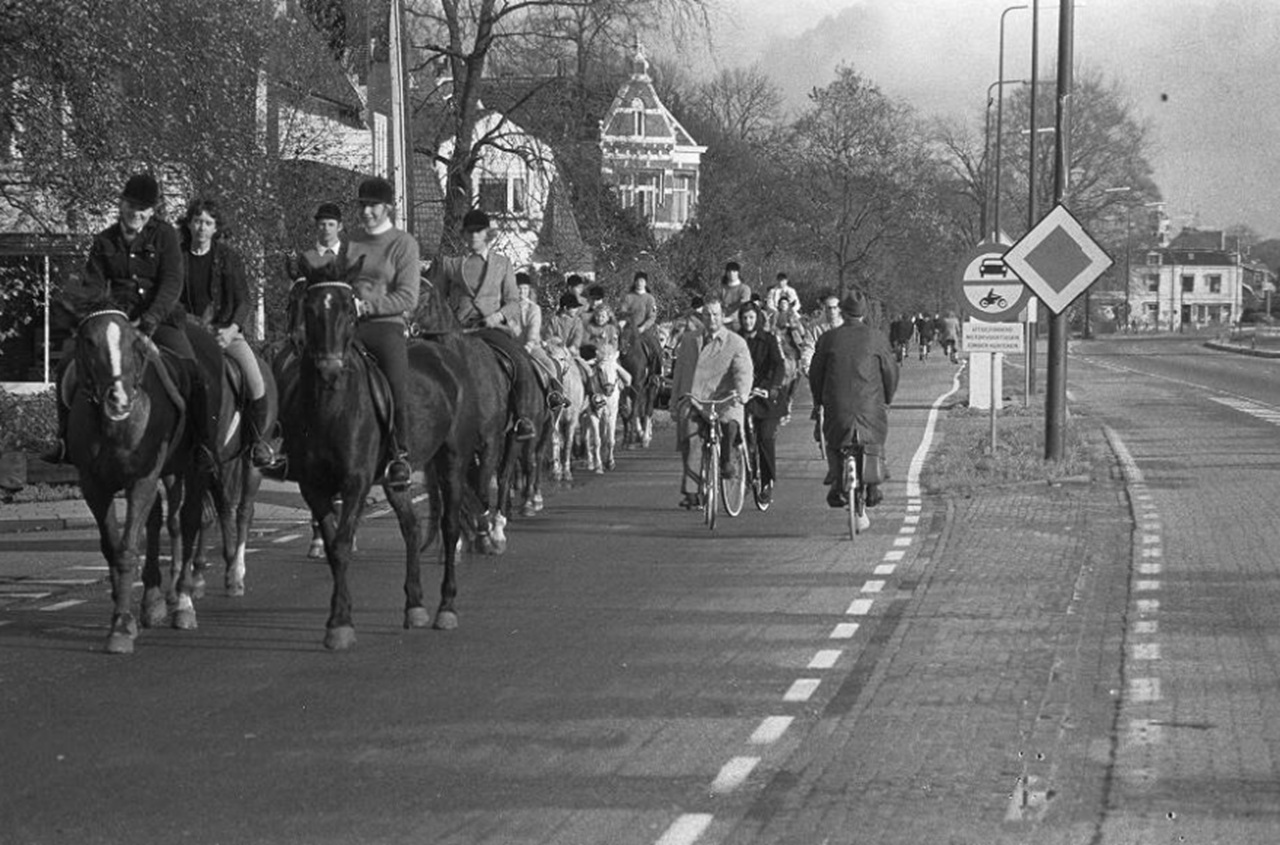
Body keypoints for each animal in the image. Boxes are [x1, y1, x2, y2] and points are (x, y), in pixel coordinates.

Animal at [64, 303, 212, 652]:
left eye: (134, 342)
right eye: (88, 341)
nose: (118, 399)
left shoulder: (142, 480)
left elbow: (128, 548)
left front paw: (120, 626)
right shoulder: (94, 486)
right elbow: (112, 546)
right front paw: (123, 611)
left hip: (192, 470)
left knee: (189, 521)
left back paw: (183, 603)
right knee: (159, 521)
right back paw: (154, 601)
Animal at [275, 256, 481, 647]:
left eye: (348, 309)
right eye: (308, 308)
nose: (329, 369)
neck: (329, 406)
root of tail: (443, 353)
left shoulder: (355, 481)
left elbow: (342, 543)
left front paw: (340, 624)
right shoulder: (313, 486)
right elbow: (332, 545)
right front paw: (338, 617)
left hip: (452, 460)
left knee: (449, 526)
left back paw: (446, 608)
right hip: (396, 477)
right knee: (412, 526)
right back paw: (414, 606)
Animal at [616, 325, 665, 453]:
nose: (622, 348)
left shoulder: (637, 388)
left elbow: (634, 413)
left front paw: (631, 443)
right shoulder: (623, 391)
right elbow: (626, 413)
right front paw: (625, 441)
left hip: (651, 387)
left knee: (648, 409)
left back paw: (645, 438)